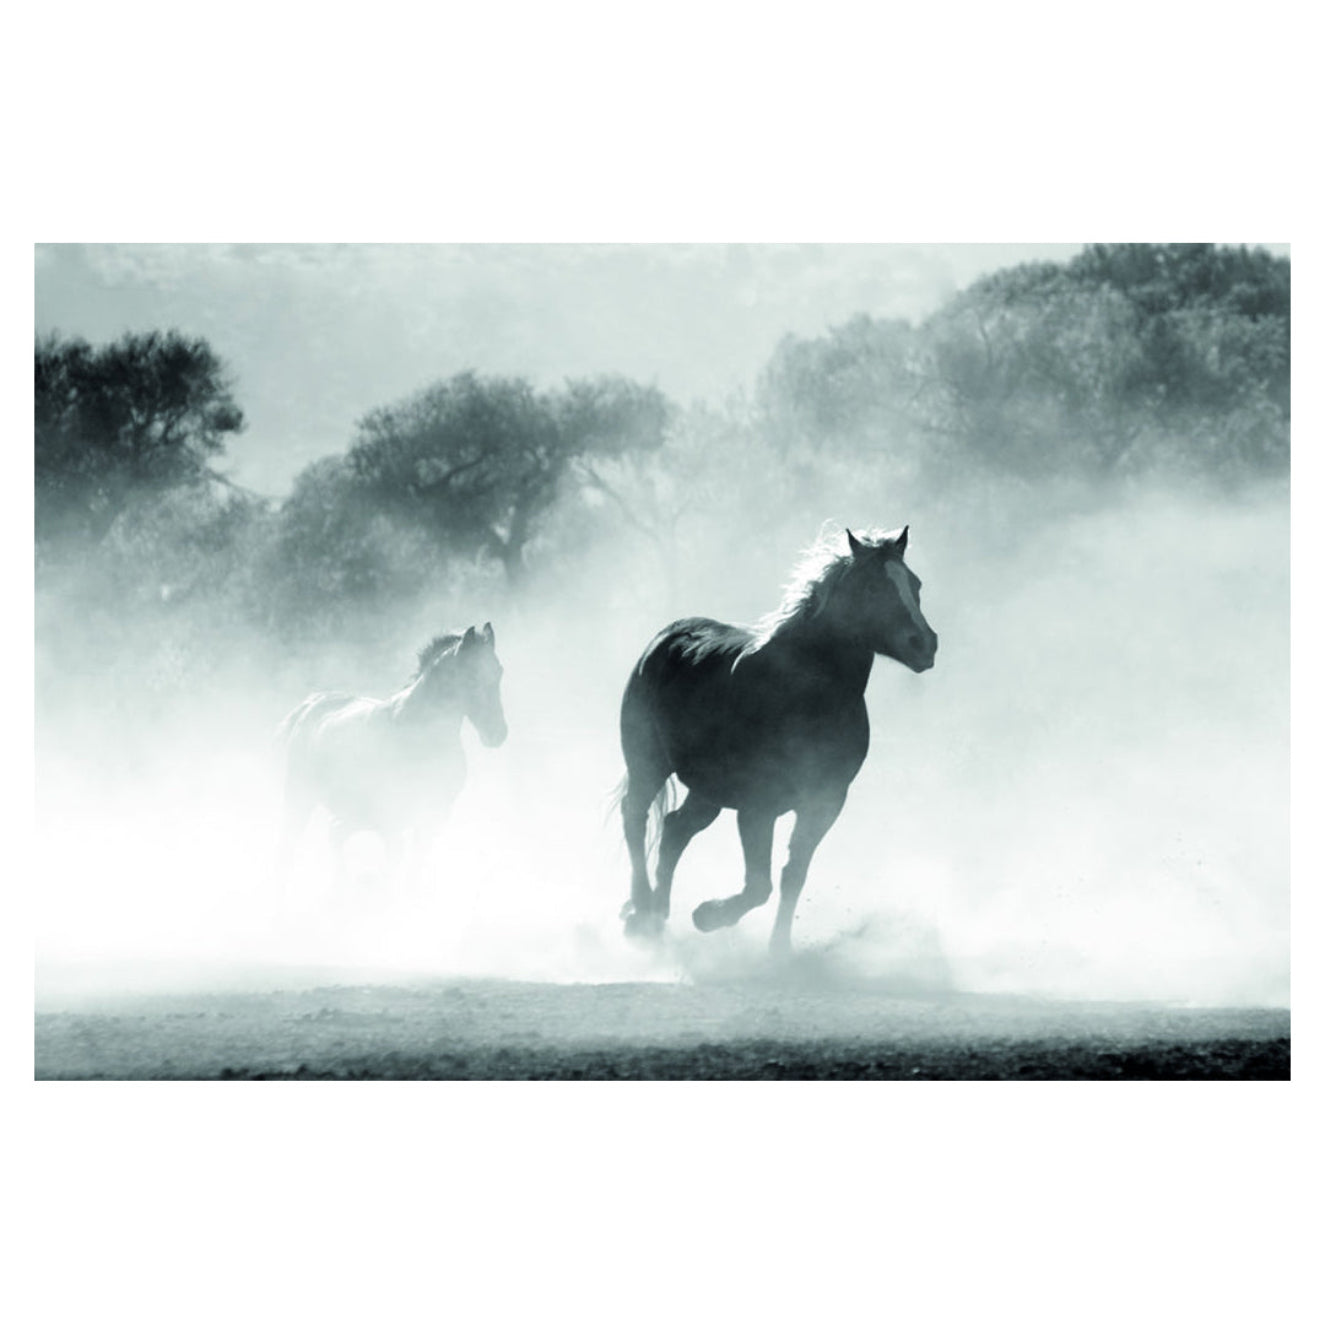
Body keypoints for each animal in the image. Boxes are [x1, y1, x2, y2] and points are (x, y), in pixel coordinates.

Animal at [277, 623, 507, 889]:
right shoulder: (392, 819)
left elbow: (413, 871)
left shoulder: (432, 817)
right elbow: (394, 869)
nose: (497, 734)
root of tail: (308, 706)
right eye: (471, 676)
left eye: (499, 672)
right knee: (290, 845)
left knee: (334, 834)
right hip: (300, 798)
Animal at [618, 526, 937, 955]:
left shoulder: (824, 803)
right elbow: (759, 885)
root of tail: (665, 638)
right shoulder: (758, 806)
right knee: (635, 816)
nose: (925, 644)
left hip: (708, 790)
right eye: (872, 586)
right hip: (648, 763)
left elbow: (792, 875)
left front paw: (778, 950)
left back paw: (657, 916)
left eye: (915, 584)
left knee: (673, 831)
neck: (805, 695)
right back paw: (640, 912)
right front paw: (708, 915)